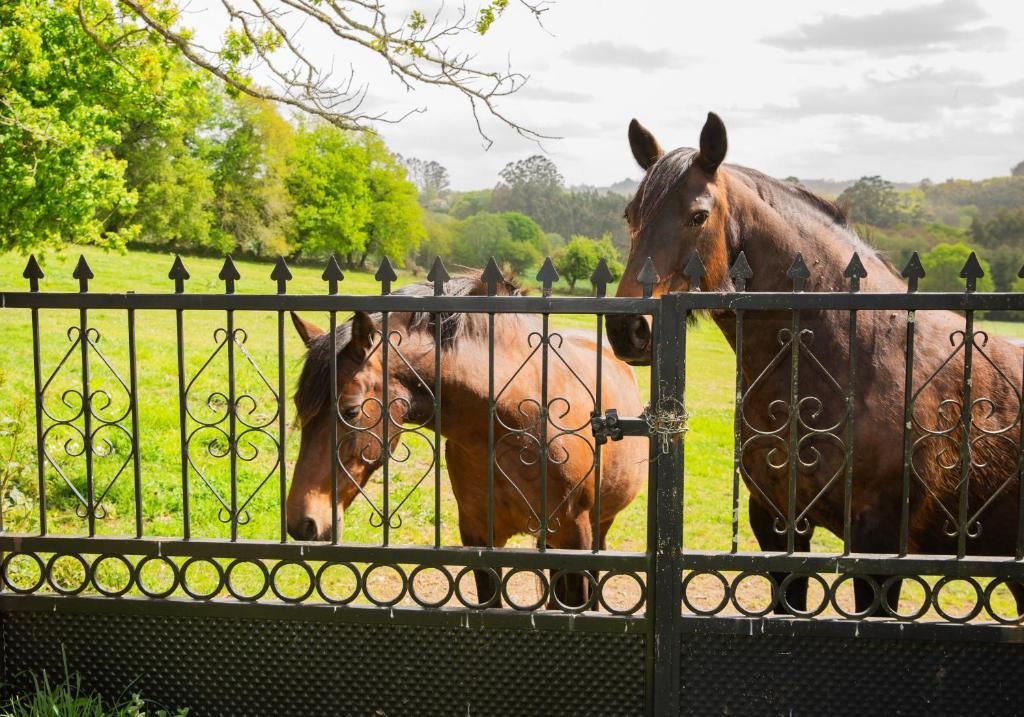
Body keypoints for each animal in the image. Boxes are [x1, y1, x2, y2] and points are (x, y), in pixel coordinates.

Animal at [607, 112, 1023, 616]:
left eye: (698, 215)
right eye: (631, 215)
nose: (627, 328)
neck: (858, 360)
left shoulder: (879, 545)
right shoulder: (777, 523)